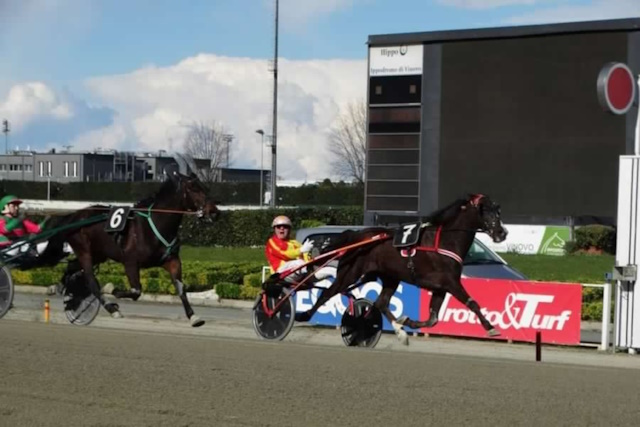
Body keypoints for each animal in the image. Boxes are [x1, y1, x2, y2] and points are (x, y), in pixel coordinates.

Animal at [43, 171, 220, 328]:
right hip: (84, 250)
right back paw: (111, 308)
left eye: (205, 187)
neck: (155, 225)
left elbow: (180, 288)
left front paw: (193, 316)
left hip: (98, 253)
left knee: (71, 266)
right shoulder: (130, 262)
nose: (214, 212)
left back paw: (56, 287)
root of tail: (74, 215)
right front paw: (110, 288)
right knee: (91, 281)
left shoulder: (171, 260)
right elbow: (136, 291)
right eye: (193, 189)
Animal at [296, 194, 510, 344]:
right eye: (484, 210)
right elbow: (472, 303)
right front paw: (491, 327)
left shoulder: (440, 287)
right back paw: (303, 315)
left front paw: (407, 322)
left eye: (498, 210)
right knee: (327, 293)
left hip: (390, 277)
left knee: (381, 303)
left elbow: (432, 319)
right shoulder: (451, 283)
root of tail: (357, 236)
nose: (502, 232)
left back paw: (400, 332)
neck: (445, 241)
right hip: (349, 274)